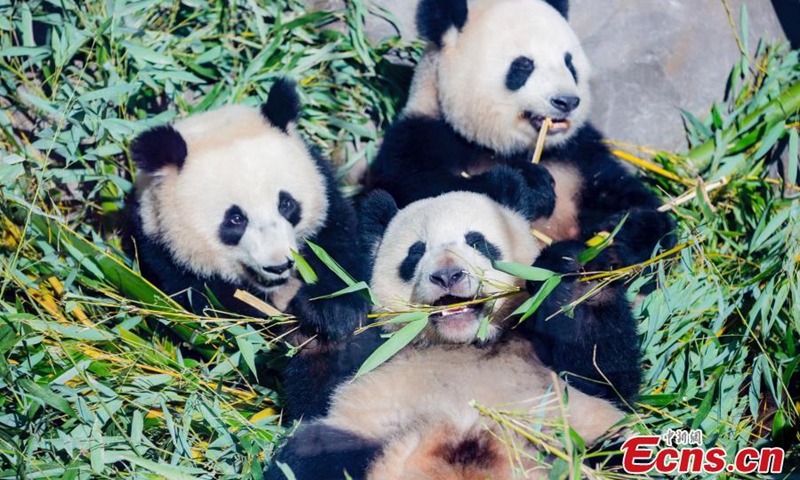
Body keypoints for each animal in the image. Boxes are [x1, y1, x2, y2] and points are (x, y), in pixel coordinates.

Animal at [129, 80, 370, 416]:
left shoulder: (330, 209)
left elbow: (343, 260)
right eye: (235, 219)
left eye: (286, 204)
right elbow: (226, 328)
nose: (278, 265)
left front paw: (329, 313)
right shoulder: (166, 261)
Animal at [265, 186, 633, 480]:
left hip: (582, 439)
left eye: (478, 242)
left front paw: (573, 275)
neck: (463, 343)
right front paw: (330, 315)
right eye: (416, 252)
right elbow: (316, 397)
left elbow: (601, 374)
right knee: (312, 454)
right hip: (364, 435)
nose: (447, 276)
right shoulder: (378, 352)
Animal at [367, 0, 672, 401]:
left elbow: (629, 201)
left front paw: (622, 233)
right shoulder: (419, 139)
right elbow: (422, 186)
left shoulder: (580, 155)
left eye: (570, 63)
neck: (515, 147)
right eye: (523, 66)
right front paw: (530, 185)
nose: (566, 101)